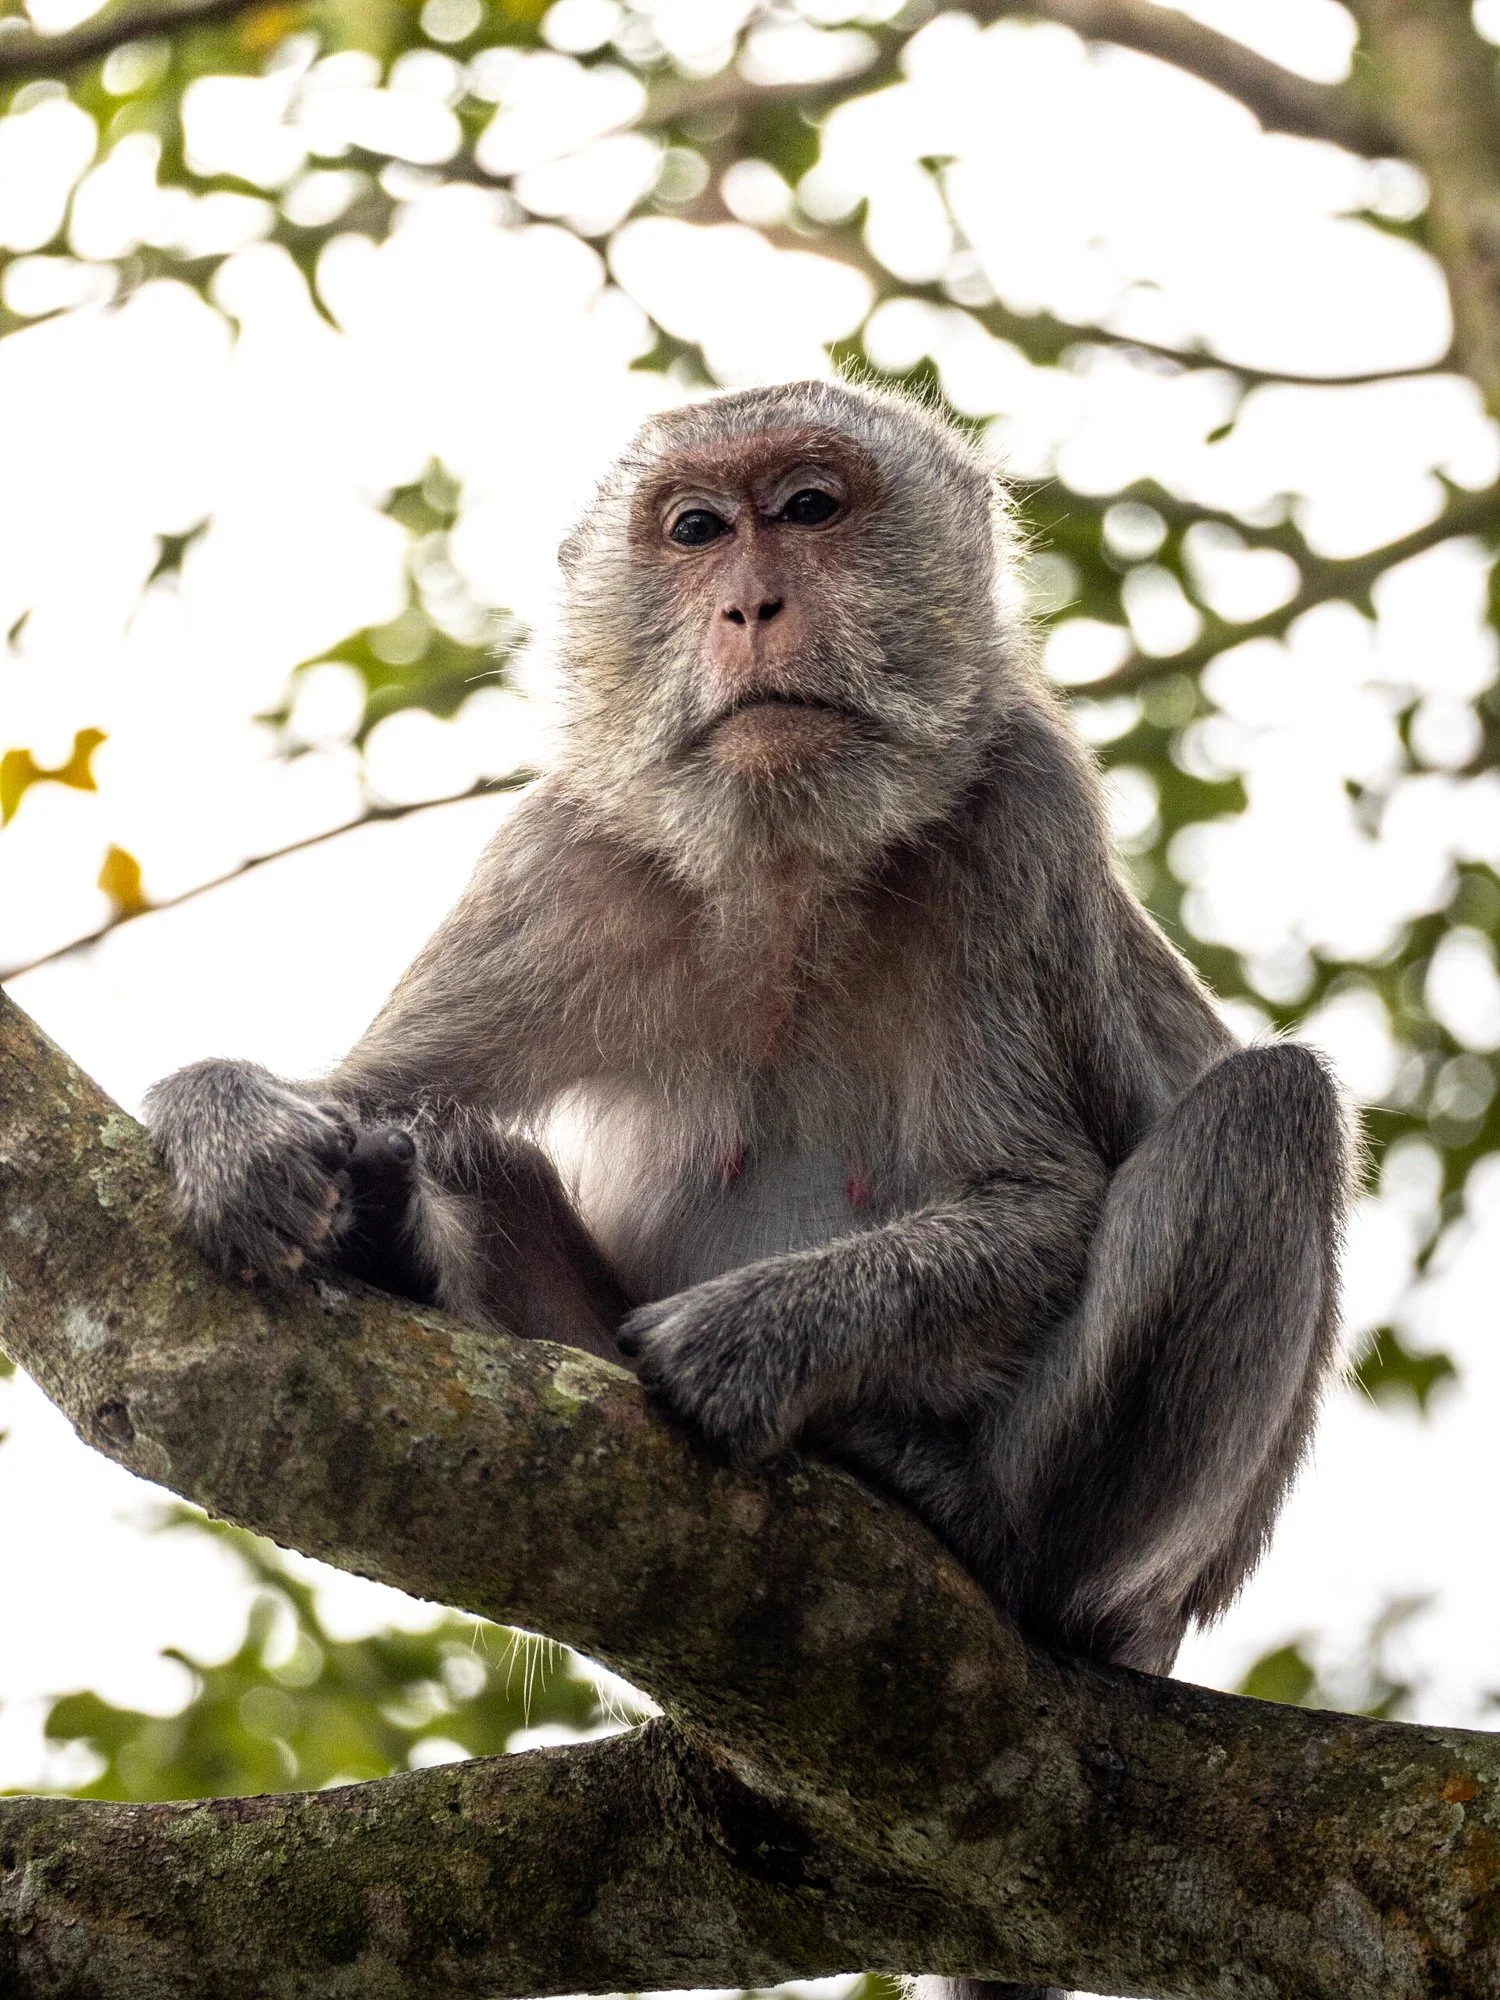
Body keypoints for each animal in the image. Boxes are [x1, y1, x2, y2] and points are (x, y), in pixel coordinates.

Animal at [144, 379, 1350, 2000]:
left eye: (812, 510)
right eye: (699, 528)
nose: (750, 601)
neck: (785, 861)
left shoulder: (1017, 821)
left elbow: (1039, 1199)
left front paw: (750, 1340)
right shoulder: (553, 861)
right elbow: (363, 1097)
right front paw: (235, 1127)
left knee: (1270, 1116)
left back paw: (980, 1525)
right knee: (459, 1145)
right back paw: (404, 1222)